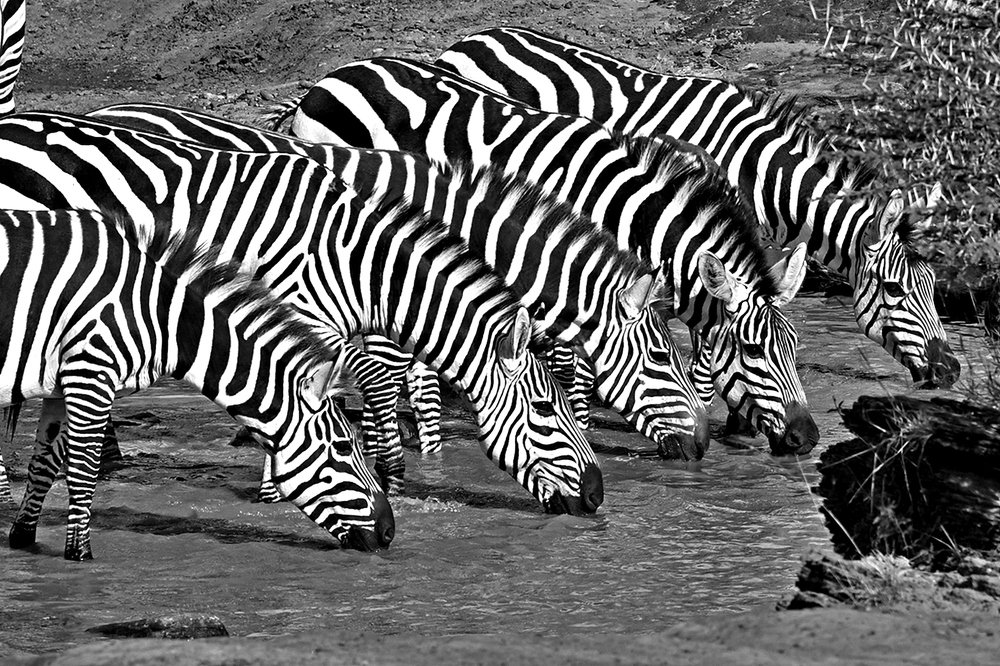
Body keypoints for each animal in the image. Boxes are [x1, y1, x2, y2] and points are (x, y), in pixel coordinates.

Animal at [0, 111, 602, 514]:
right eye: (547, 410)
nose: (598, 495)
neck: (356, 258)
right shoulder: (308, 316)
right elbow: (371, 386)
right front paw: (384, 479)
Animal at [0, 208, 393, 560]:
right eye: (344, 446)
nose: (389, 532)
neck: (163, 318)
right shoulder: (91, 373)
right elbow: (83, 471)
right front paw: (79, 554)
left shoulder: (61, 386)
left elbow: (44, 466)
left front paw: (22, 537)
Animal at [268, 58, 818, 455]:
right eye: (753, 351)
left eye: (794, 349)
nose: (808, 440)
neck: (616, 208)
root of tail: (331, 76)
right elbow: (569, 366)